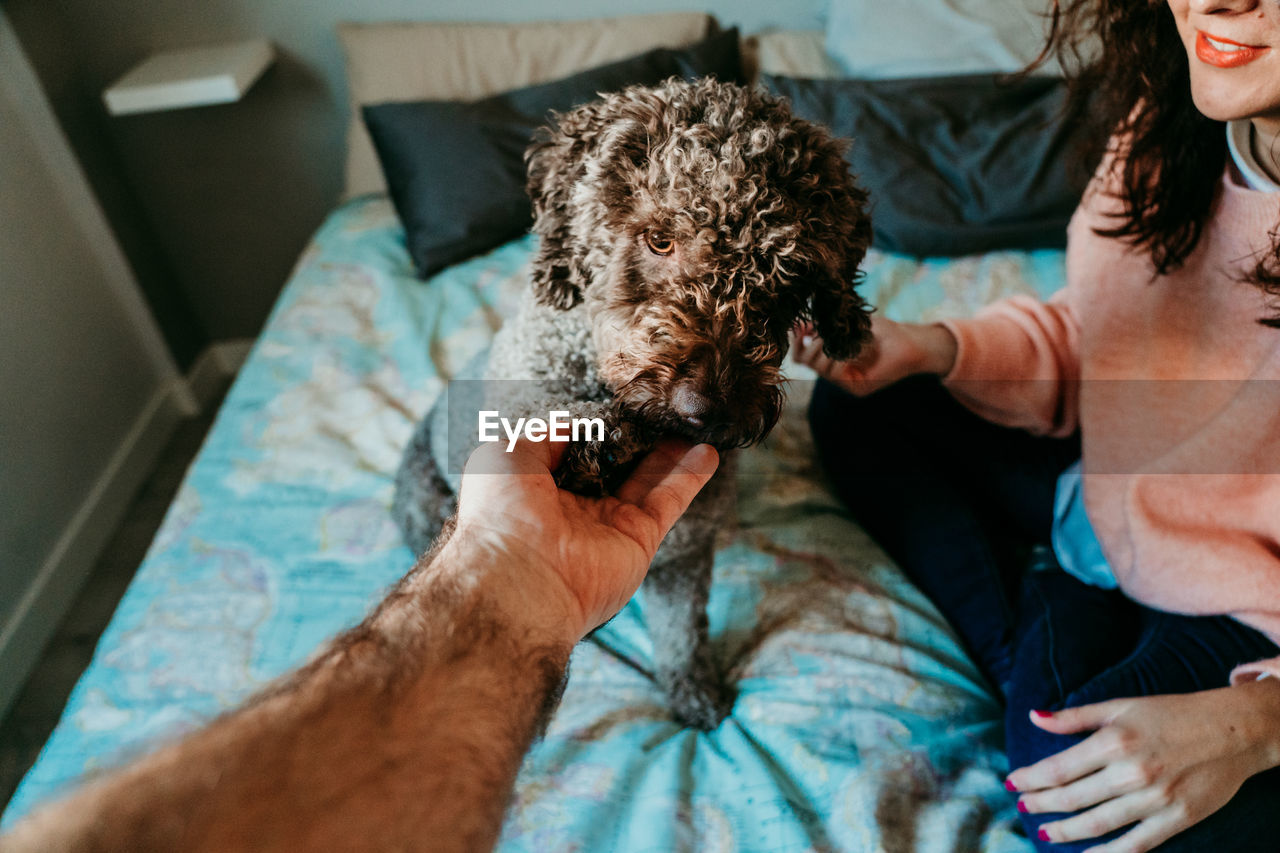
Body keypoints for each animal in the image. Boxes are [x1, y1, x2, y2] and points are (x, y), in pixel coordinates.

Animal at [389, 79, 870, 727]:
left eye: (788, 272)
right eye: (659, 239)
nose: (708, 410)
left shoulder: (686, 556)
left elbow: (680, 631)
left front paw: (693, 690)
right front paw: (596, 437)